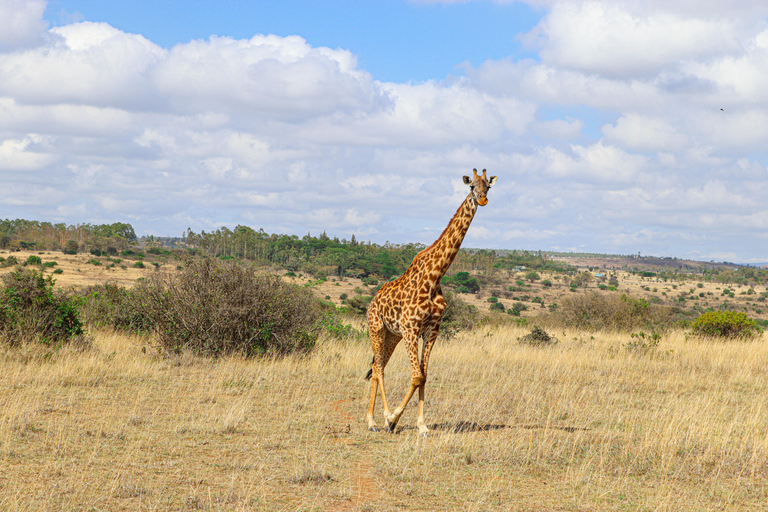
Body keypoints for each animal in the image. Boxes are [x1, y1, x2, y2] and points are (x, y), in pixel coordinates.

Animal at [364, 169, 498, 436]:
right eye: (471, 186)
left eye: (488, 186)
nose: (482, 200)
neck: (436, 275)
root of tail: (372, 301)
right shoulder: (410, 328)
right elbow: (416, 376)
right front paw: (392, 419)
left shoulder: (431, 330)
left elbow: (424, 375)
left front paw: (422, 426)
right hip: (376, 328)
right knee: (379, 368)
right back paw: (378, 419)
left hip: (391, 335)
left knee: (377, 366)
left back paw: (372, 420)